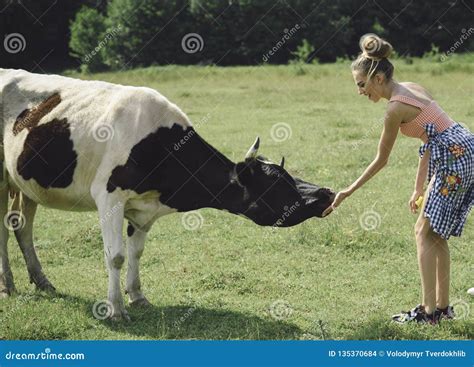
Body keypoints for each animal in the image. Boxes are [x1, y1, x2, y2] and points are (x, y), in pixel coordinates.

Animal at [0, 69, 334, 322]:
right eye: (276, 183)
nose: (327, 193)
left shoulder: (143, 210)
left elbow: (136, 252)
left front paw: (137, 296)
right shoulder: (109, 197)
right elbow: (116, 255)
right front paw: (116, 310)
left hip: (27, 184)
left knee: (22, 226)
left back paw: (42, 282)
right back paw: (9, 286)